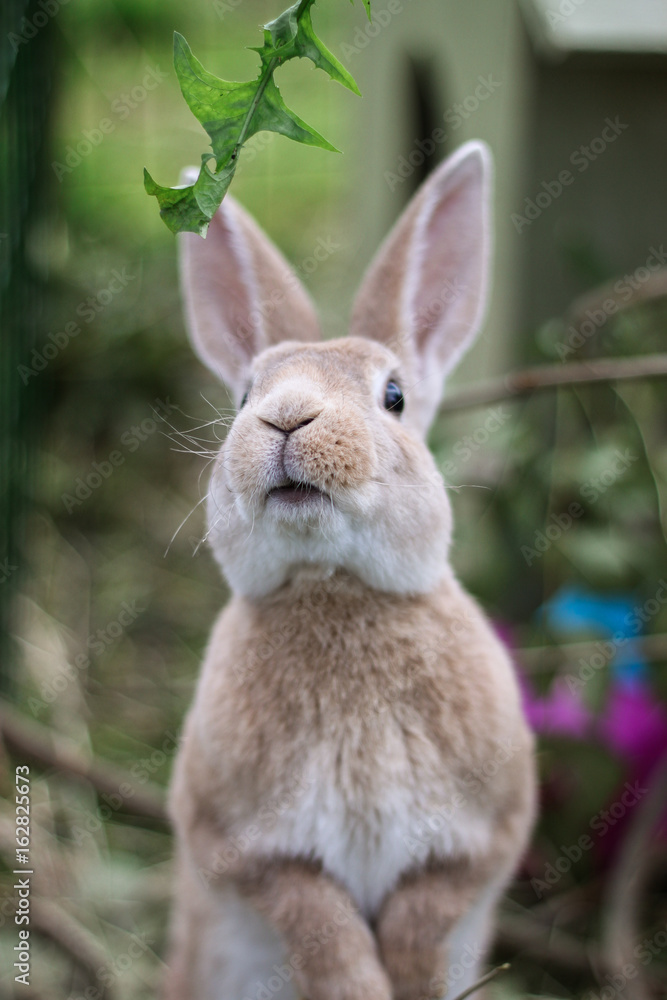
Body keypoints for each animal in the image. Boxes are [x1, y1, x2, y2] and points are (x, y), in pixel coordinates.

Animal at [163, 141, 536, 1000]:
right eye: (245, 393)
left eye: (393, 395)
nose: (286, 416)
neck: (332, 590)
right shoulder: (241, 845)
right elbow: (318, 919)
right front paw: (359, 987)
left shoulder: (482, 839)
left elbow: (424, 914)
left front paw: (409, 980)